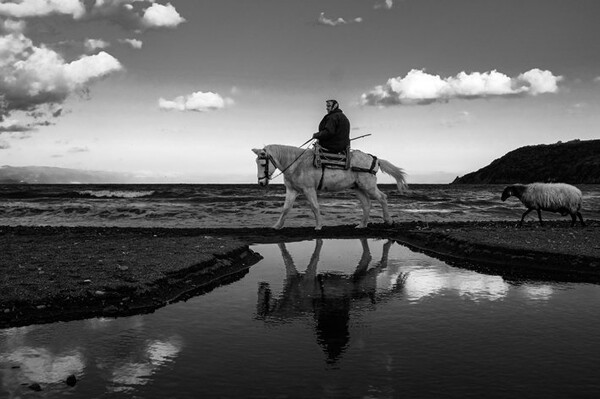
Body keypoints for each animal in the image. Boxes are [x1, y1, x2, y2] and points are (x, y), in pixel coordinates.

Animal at [251, 145, 406, 230]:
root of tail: (375, 159)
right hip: (358, 188)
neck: (297, 163)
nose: (261, 183)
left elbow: (315, 207)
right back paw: (362, 225)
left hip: (368, 186)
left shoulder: (309, 189)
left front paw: (319, 226)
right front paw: (277, 226)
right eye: (256, 162)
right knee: (366, 204)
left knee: (382, 198)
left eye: (263, 164)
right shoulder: (292, 190)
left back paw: (388, 220)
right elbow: (286, 209)